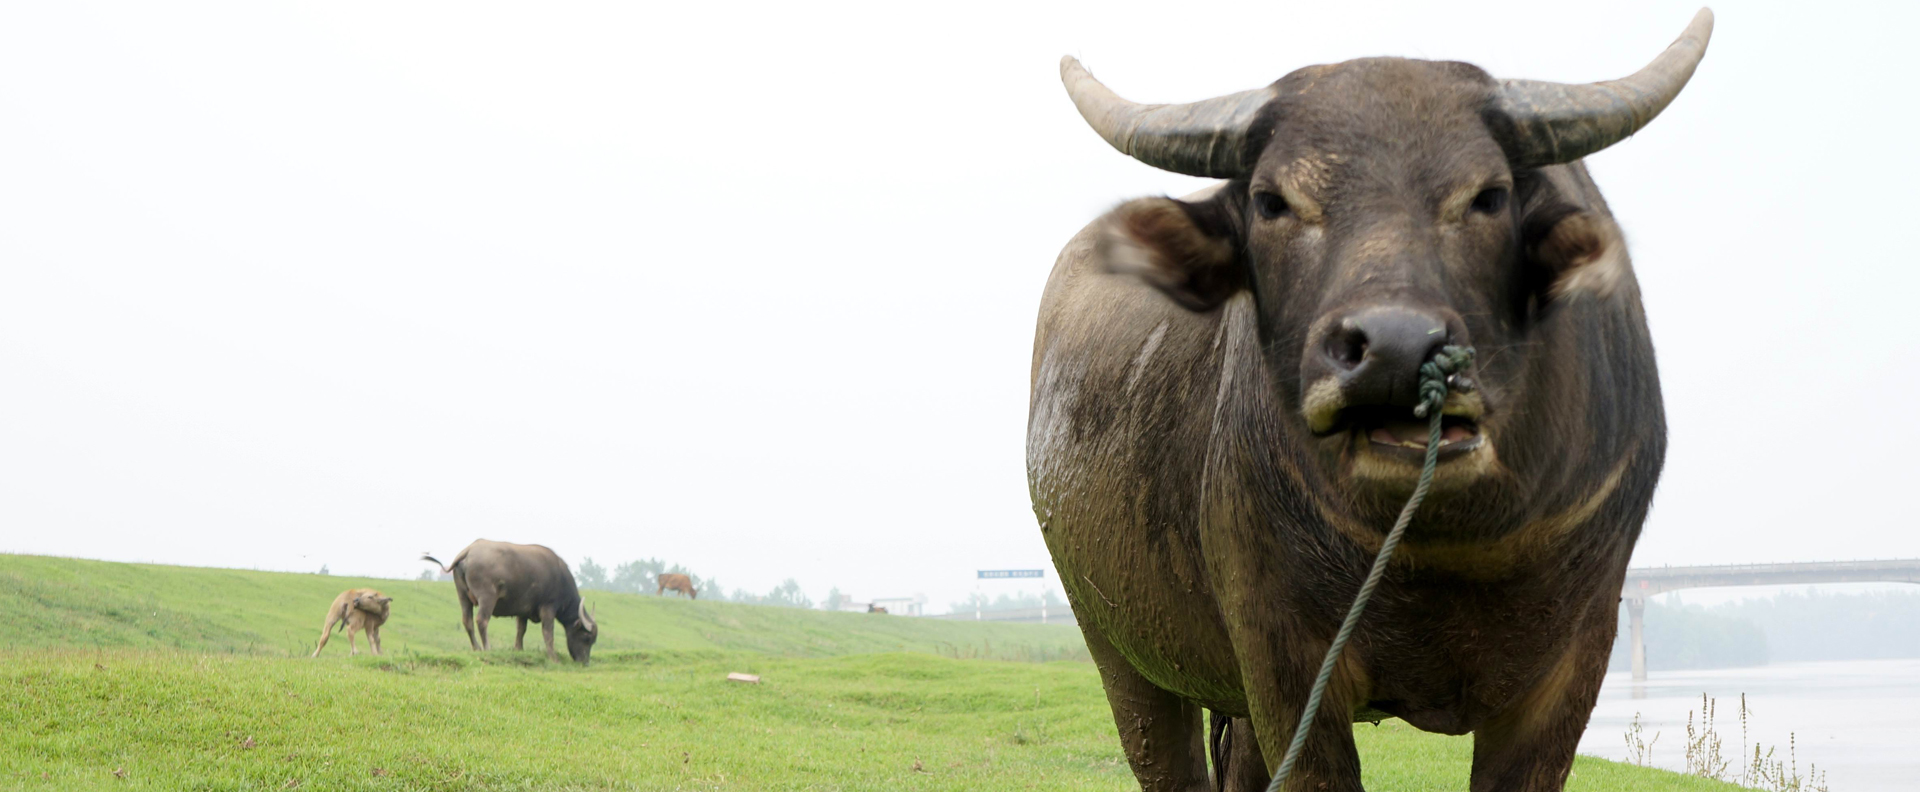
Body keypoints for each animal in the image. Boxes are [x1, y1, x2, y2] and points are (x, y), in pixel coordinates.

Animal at [422, 540, 595, 663]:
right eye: (587, 638)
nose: (584, 662)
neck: (560, 578)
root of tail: (469, 551)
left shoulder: (523, 610)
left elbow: (521, 629)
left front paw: (518, 649)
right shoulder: (548, 608)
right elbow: (548, 633)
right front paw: (553, 658)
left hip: (462, 596)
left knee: (467, 621)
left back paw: (476, 648)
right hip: (487, 597)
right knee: (481, 620)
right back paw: (487, 647)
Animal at [1029, 7, 1720, 790]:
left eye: (1489, 196)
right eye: (1272, 202)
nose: (1395, 349)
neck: (1449, 548)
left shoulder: (1576, 660)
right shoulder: (1283, 659)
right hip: (1120, 651)